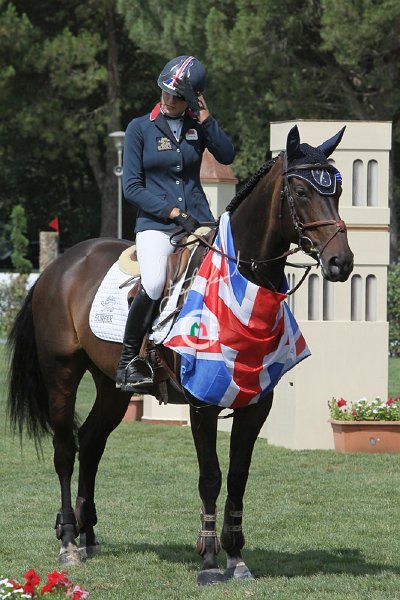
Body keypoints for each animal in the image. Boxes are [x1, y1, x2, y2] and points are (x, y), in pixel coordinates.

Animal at [7, 125, 353, 585]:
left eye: (338, 190)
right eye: (299, 190)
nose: (341, 262)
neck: (243, 281)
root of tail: (57, 266)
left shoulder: (256, 404)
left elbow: (238, 476)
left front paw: (236, 556)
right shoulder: (202, 404)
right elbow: (211, 477)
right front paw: (209, 561)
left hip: (112, 386)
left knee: (92, 442)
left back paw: (88, 535)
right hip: (61, 372)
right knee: (65, 449)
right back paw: (67, 542)